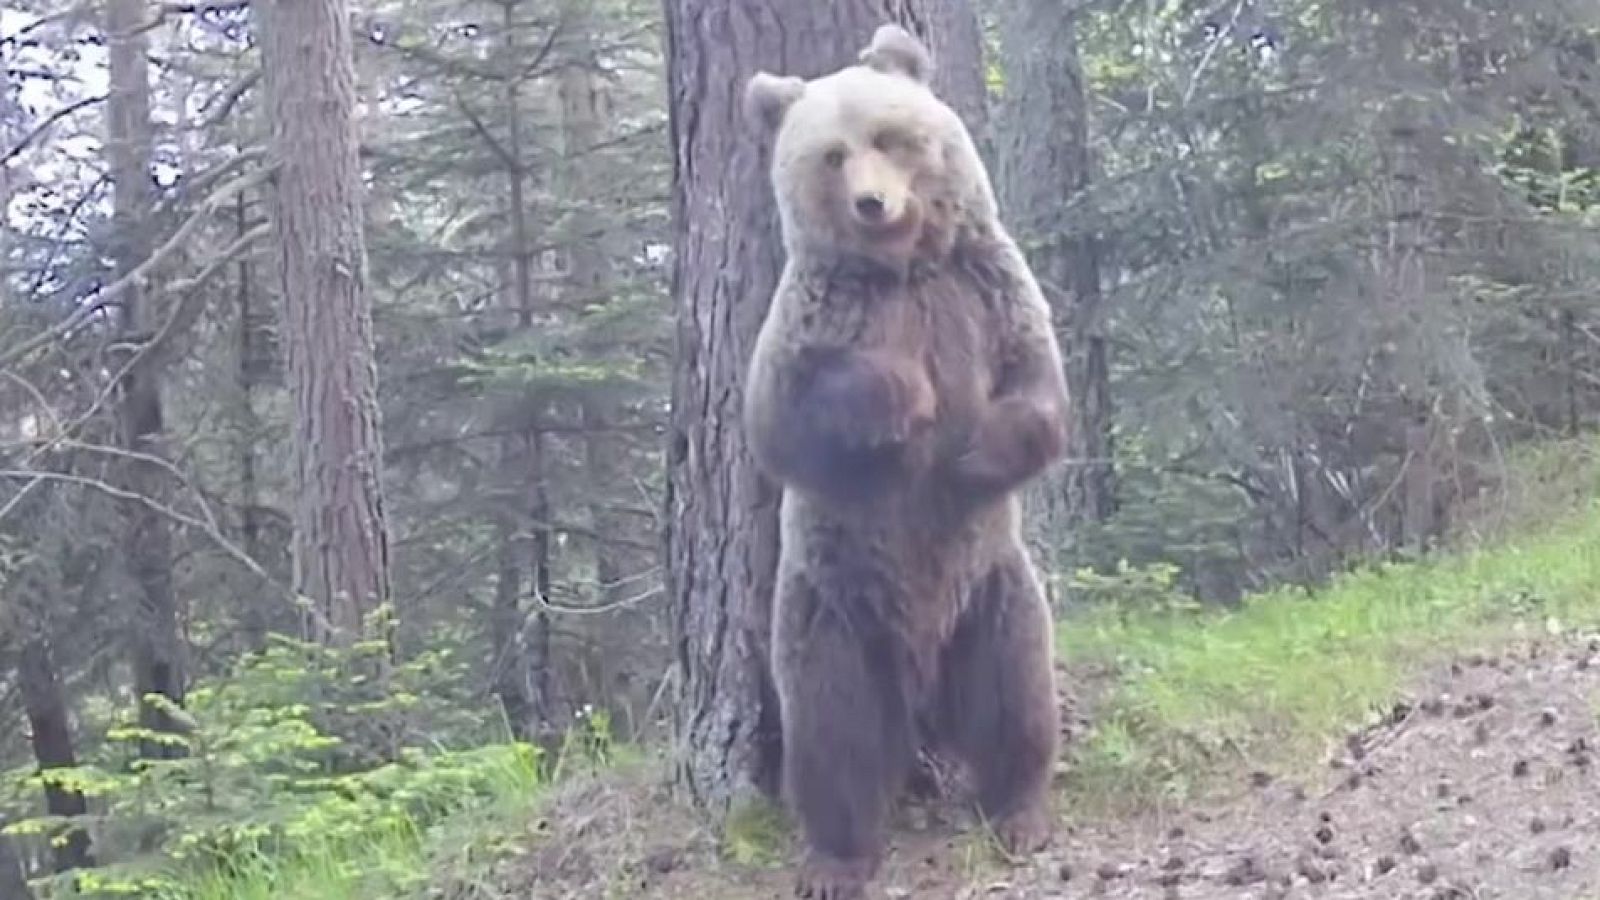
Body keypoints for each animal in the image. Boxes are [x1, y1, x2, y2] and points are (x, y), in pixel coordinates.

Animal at [740, 23, 1072, 900]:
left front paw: (976, 443)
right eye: (831, 155)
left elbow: (1039, 394)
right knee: (834, 739)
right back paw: (837, 857)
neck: (904, 269)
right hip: (832, 617)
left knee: (1017, 699)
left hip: (993, 595)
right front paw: (904, 397)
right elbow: (782, 423)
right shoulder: (815, 316)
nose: (872, 203)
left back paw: (1019, 813)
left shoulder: (988, 288)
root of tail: (922, 695)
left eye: (889, 137)